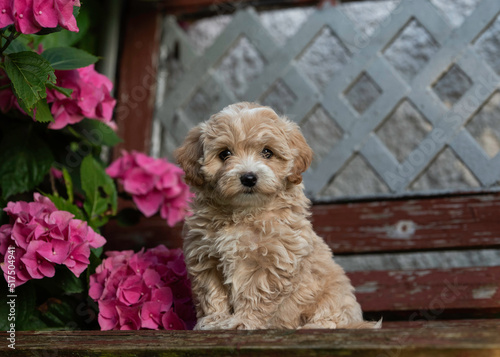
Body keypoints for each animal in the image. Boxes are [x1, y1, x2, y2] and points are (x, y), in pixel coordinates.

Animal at [176, 101, 378, 328]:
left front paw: (243, 322)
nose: (248, 177)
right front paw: (214, 321)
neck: (244, 212)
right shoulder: (206, 258)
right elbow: (211, 293)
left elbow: (255, 294)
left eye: (267, 152)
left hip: (334, 297)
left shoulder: (273, 261)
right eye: (225, 154)